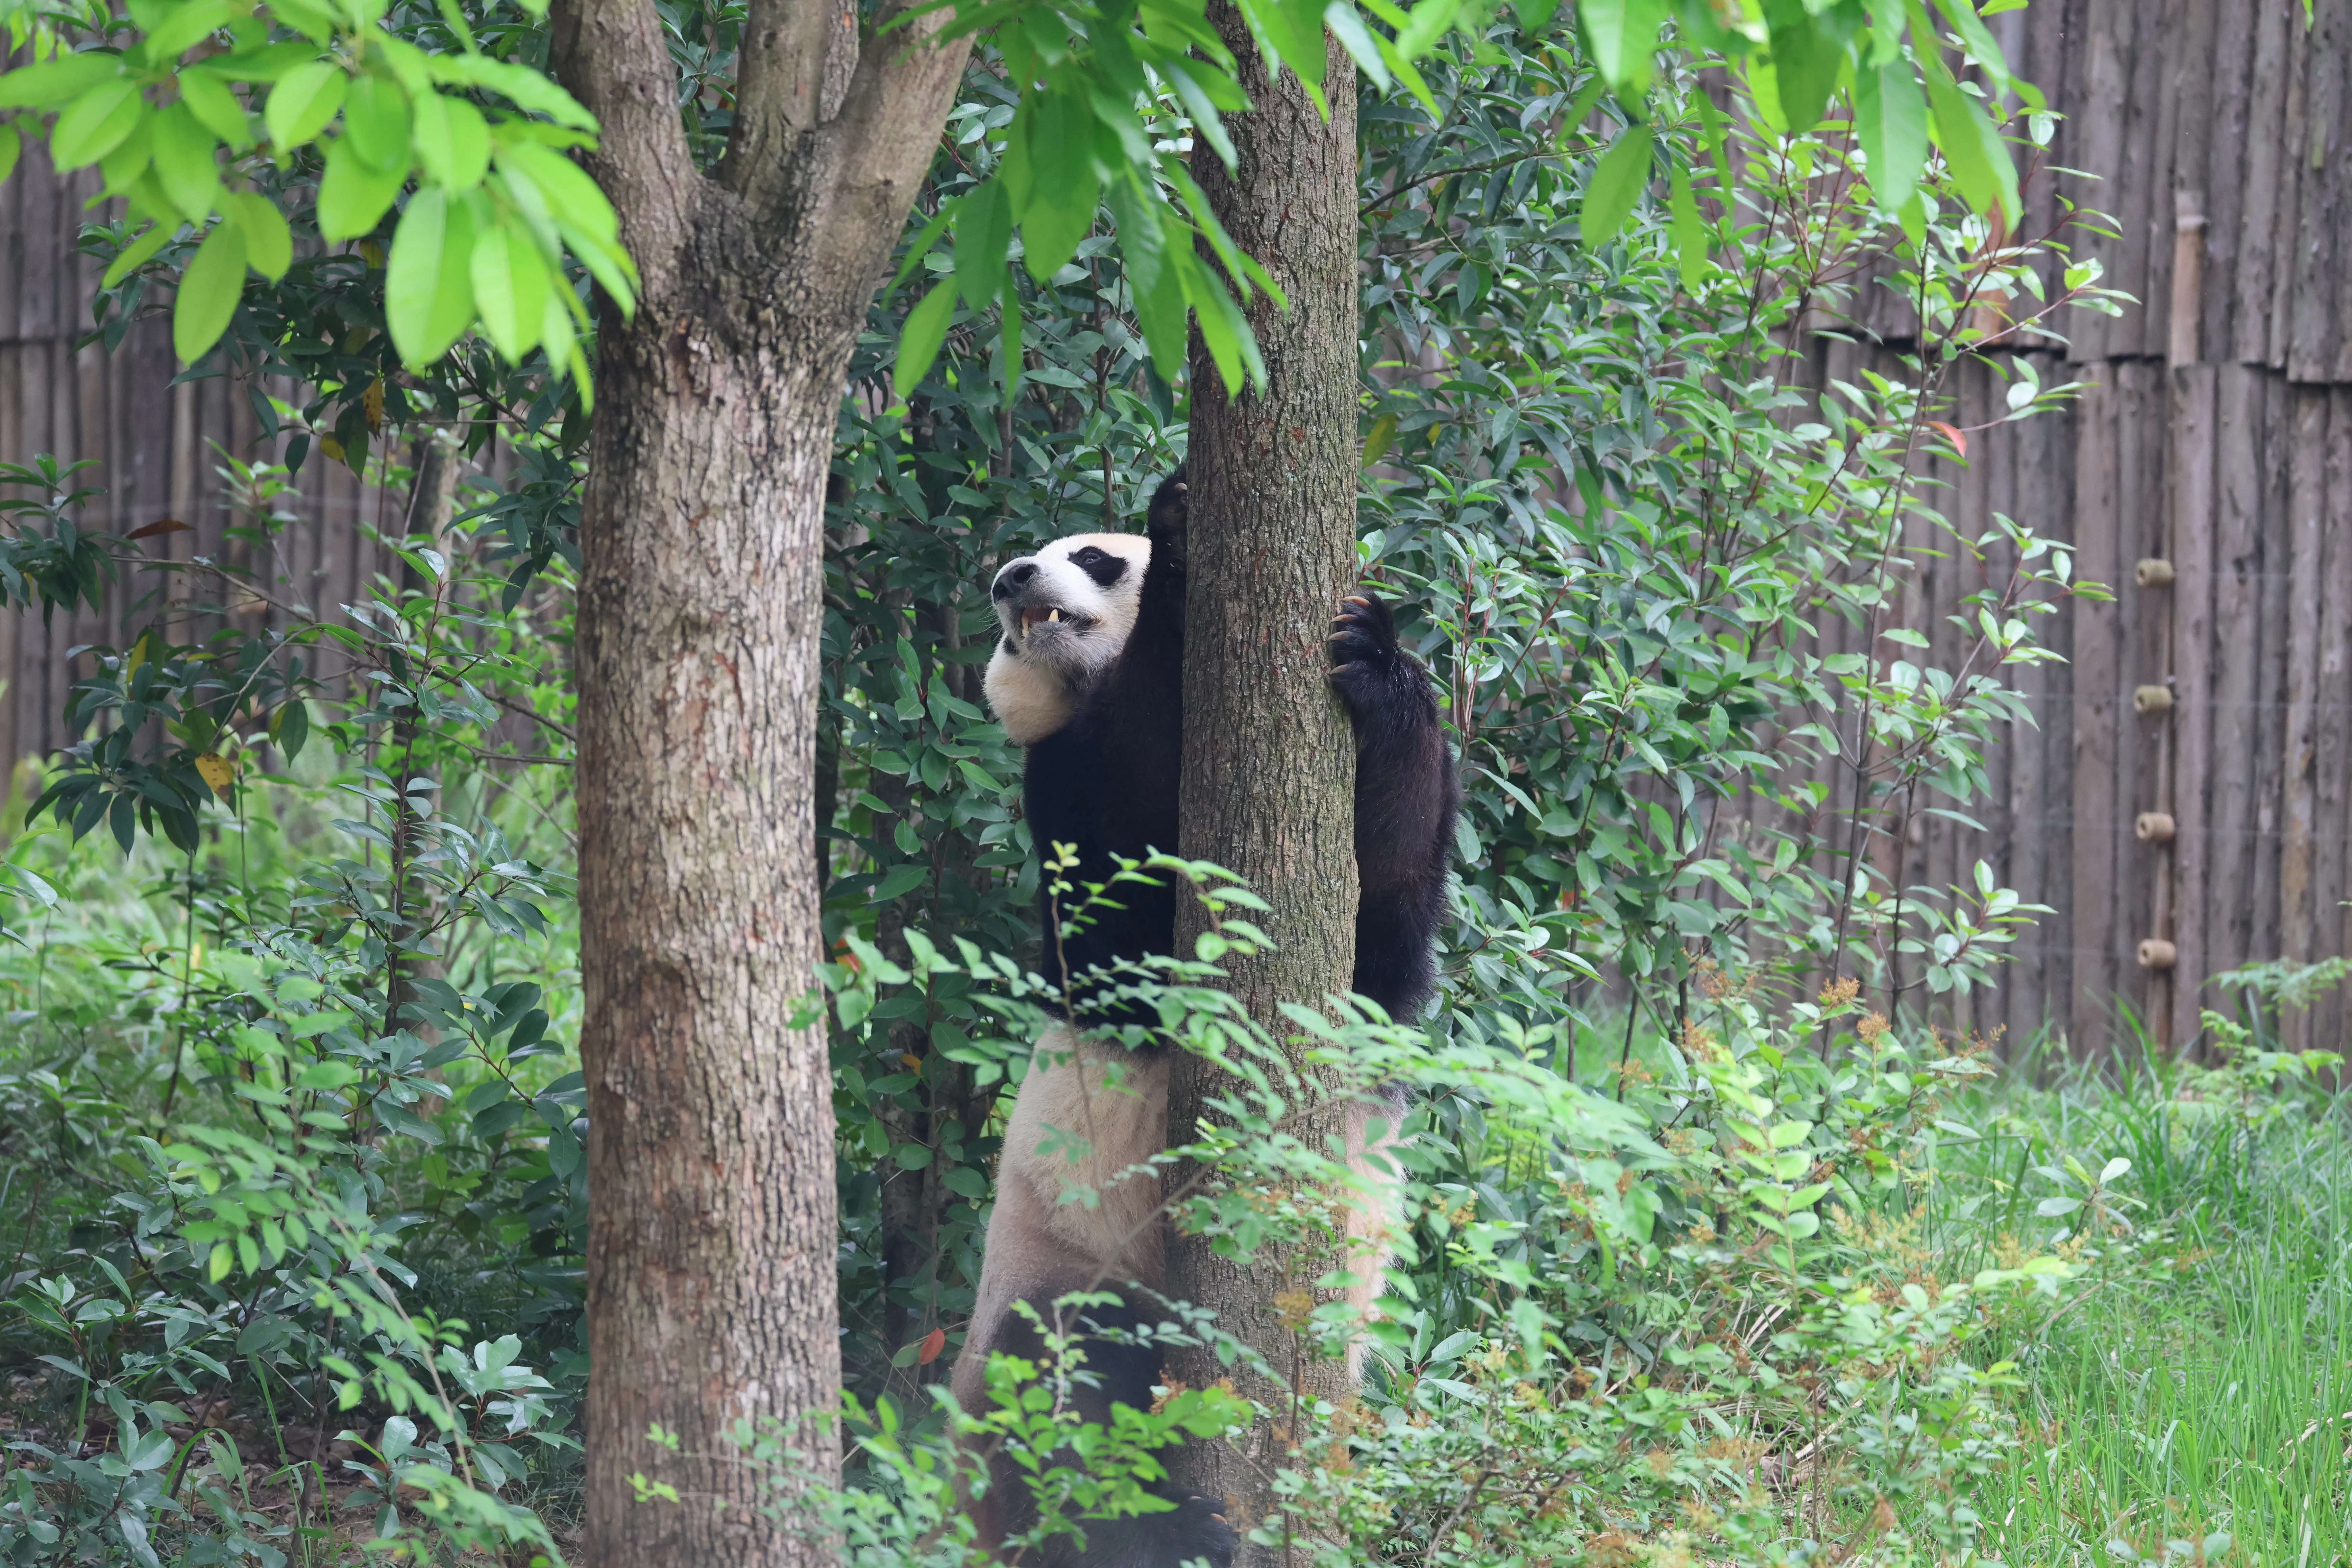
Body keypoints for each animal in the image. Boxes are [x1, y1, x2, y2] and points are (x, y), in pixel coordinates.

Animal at [950, 469, 1459, 1568]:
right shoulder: (1060, 783)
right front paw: (1183, 546)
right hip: (1066, 1266)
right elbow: (1126, 883)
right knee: (1072, 1377)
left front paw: (1374, 655)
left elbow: (1385, 927)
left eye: (1092, 557)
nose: (1011, 579)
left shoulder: (1375, 964)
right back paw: (1174, 1528)